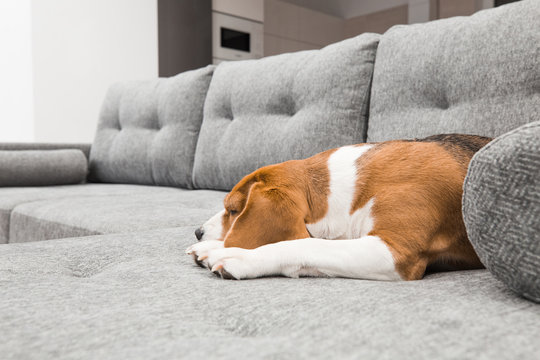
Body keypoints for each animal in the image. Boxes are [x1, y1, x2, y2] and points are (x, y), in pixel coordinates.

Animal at [187, 134, 494, 282]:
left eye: (233, 210)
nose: (198, 231)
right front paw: (211, 246)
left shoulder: (395, 251)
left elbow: (304, 244)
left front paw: (238, 255)